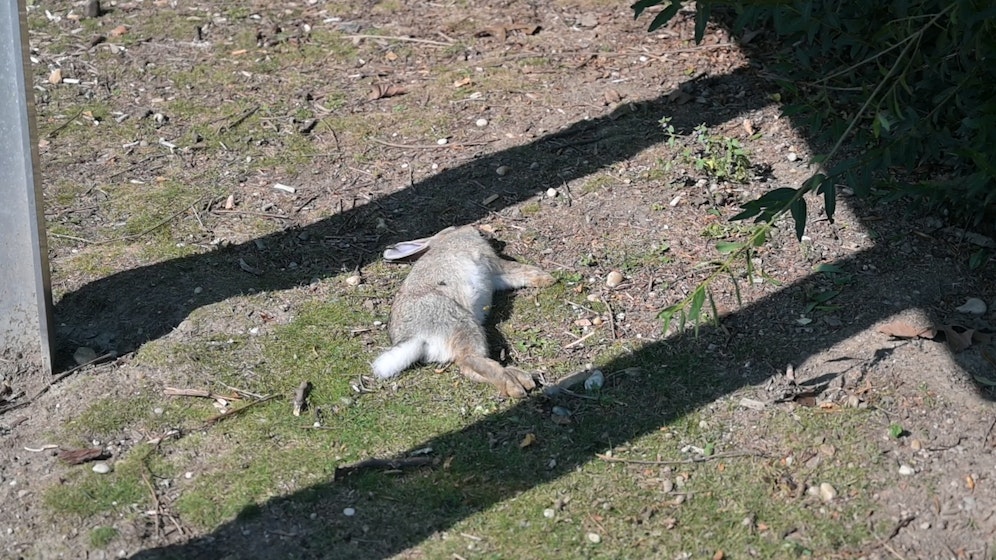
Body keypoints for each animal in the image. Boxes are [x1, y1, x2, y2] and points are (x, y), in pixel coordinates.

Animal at [372, 225, 556, 398]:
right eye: (454, 227)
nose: (483, 232)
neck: (445, 238)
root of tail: (415, 337)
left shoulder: (495, 276)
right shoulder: (492, 260)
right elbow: (516, 268)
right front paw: (548, 278)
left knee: (467, 369)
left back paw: (521, 379)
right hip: (462, 323)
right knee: (470, 360)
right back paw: (517, 386)